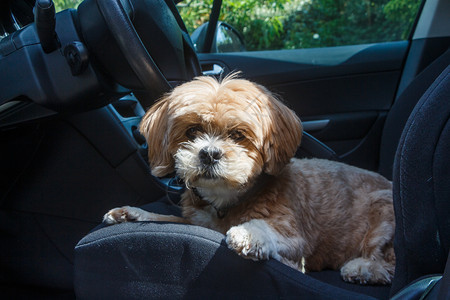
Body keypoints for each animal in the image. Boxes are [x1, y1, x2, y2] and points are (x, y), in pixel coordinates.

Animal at [104, 74, 394, 284]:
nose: (209, 153)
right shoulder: (198, 222)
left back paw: (361, 268)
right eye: (192, 131)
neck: (228, 201)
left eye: (238, 135)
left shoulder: (293, 243)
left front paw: (249, 234)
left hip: (382, 212)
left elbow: (267, 231)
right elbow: (168, 218)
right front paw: (130, 213)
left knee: (389, 265)